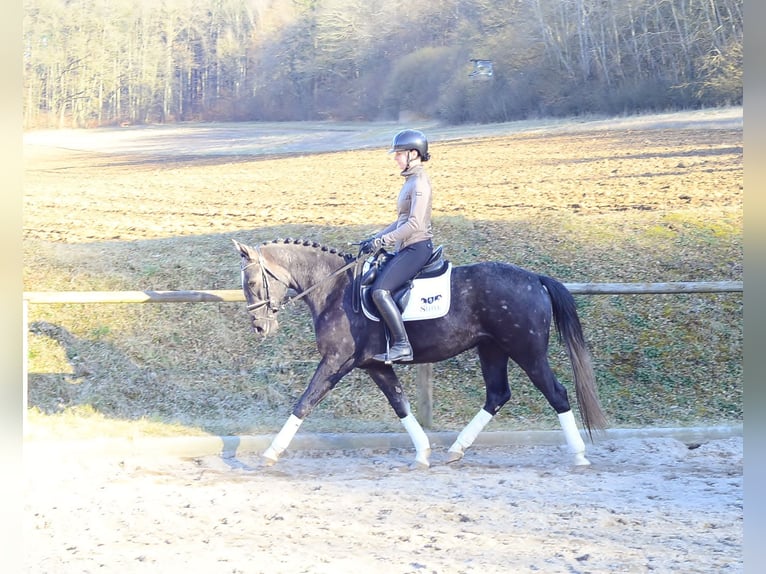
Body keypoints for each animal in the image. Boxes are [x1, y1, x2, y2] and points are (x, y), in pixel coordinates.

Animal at [234, 238, 608, 468]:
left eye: (251, 283)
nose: (260, 327)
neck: (334, 289)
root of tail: (535, 278)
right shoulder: (374, 365)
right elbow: (400, 404)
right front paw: (423, 453)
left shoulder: (336, 362)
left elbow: (304, 402)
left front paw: (270, 453)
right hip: (492, 350)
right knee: (497, 395)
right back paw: (456, 449)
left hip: (527, 351)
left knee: (556, 394)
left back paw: (579, 455)